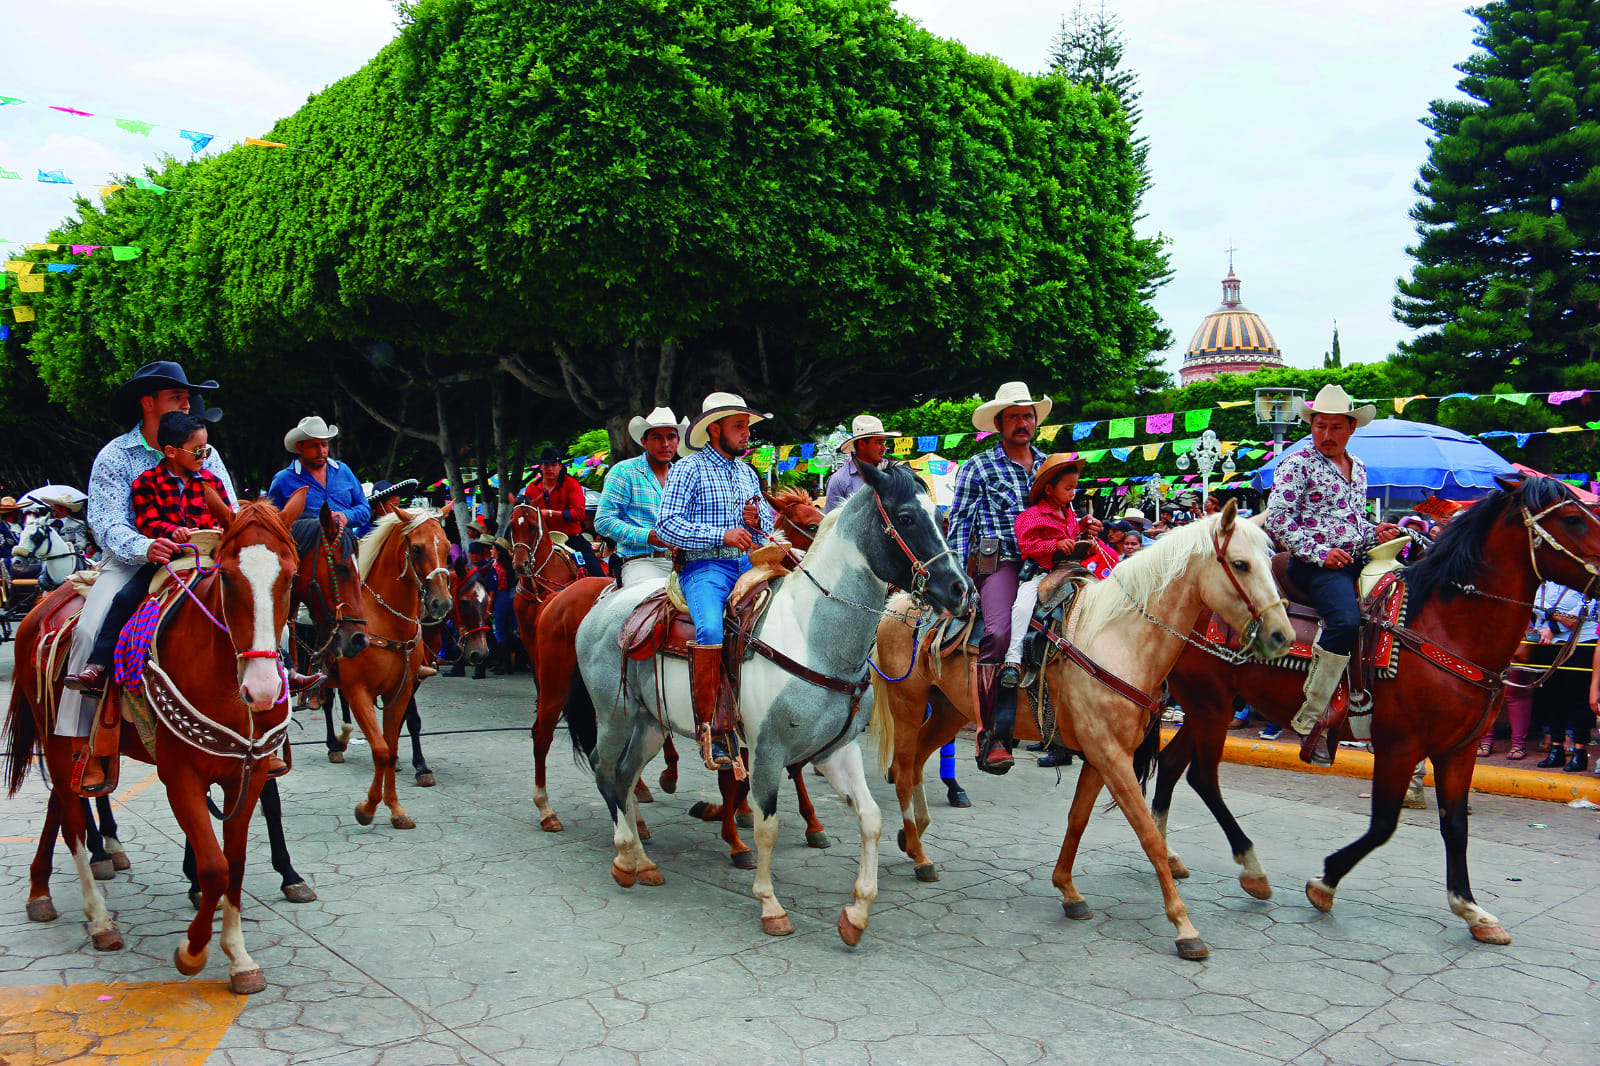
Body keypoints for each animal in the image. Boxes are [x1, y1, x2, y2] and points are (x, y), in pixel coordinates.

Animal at [5, 489, 308, 985]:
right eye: (227, 576)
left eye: (291, 574)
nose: (263, 689)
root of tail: (44, 605)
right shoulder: (180, 776)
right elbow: (214, 867)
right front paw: (193, 951)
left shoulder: (248, 773)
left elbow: (236, 863)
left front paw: (239, 957)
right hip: (56, 735)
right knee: (71, 820)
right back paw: (100, 920)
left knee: (61, 804)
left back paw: (39, 891)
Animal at [569, 460, 966, 941]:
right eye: (906, 518)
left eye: (942, 517)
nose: (961, 589)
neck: (813, 638)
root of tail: (602, 604)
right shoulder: (766, 752)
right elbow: (766, 827)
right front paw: (770, 904)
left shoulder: (836, 750)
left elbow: (870, 819)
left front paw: (856, 913)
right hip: (615, 714)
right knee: (605, 770)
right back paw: (626, 856)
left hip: (649, 724)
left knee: (626, 776)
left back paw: (644, 862)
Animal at [870, 502, 1292, 960]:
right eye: (1240, 564)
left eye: (1270, 560)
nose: (1282, 635)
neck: (1119, 638)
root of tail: (897, 601)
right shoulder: (1111, 755)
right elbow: (1148, 834)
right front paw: (1184, 926)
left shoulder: (1101, 754)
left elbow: (1078, 818)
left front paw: (1068, 891)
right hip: (908, 705)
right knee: (904, 769)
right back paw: (920, 856)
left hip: (949, 709)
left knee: (916, 762)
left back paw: (912, 836)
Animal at [1152, 476, 1600, 941]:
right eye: (1573, 519)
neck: (1447, 627)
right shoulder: (1399, 746)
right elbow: (1383, 824)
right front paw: (1325, 883)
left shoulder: (1459, 750)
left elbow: (1456, 826)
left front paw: (1471, 908)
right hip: (1210, 702)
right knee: (1203, 777)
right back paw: (1252, 869)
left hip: (1209, 705)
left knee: (1171, 763)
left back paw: (1167, 854)